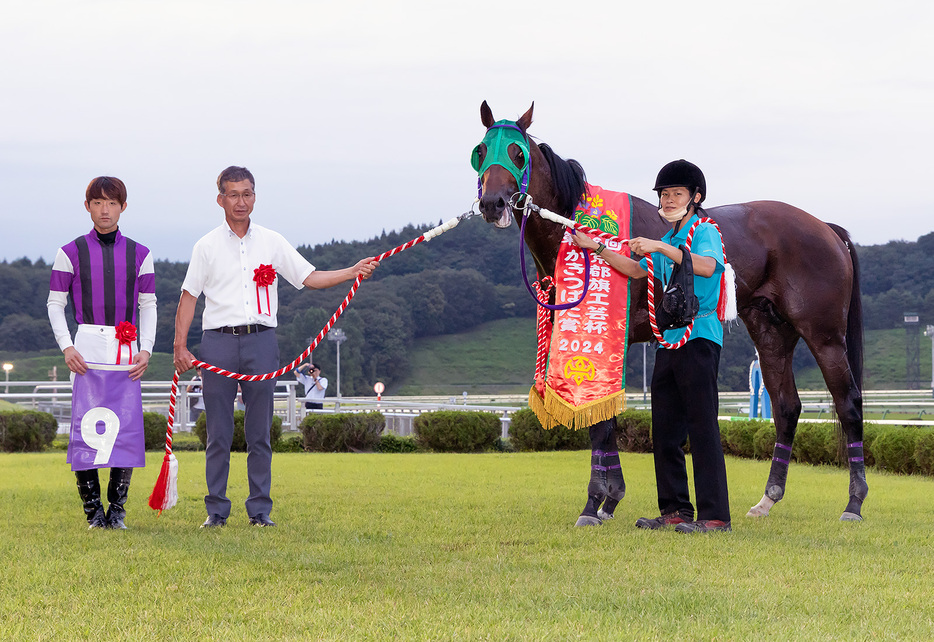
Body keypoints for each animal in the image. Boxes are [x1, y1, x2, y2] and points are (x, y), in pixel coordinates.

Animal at [476, 99, 872, 520]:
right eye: (481, 151)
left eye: (518, 153)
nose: (492, 203)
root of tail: (826, 229)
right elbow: (604, 416)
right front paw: (610, 498)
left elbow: (601, 423)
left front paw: (594, 502)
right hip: (771, 332)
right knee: (786, 407)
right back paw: (768, 497)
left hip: (824, 335)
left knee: (849, 404)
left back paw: (854, 502)